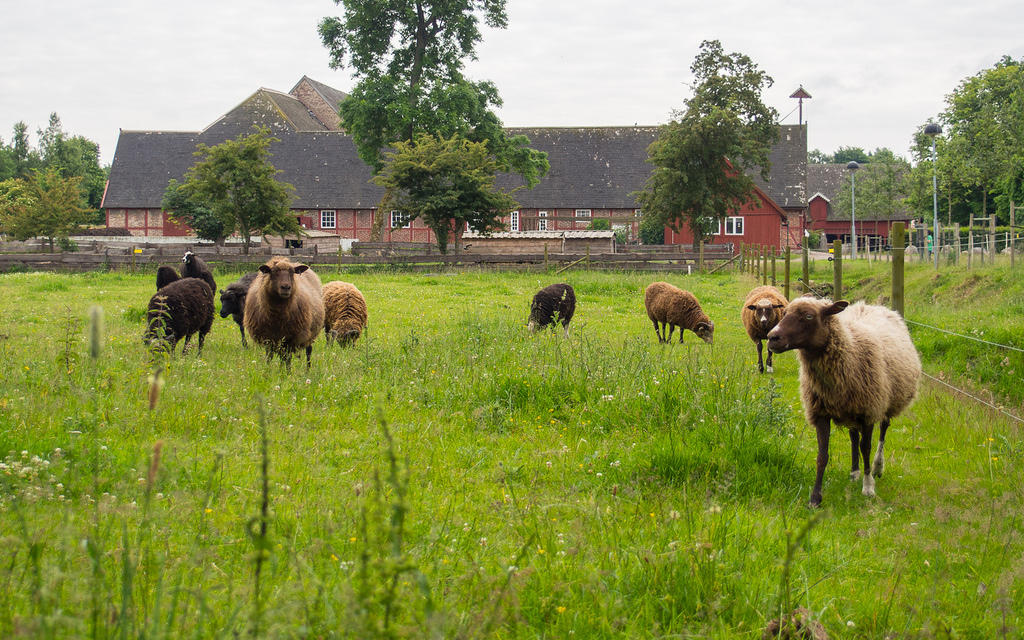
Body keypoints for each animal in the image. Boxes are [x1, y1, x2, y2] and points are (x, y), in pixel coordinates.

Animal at [770, 296, 921, 505]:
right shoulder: (821, 413)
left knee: (883, 431)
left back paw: (877, 467)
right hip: (851, 409)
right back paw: (854, 471)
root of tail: (870, 305)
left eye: (809, 316)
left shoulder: (868, 411)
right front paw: (815, 497)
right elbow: (822, 455)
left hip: (887, 401)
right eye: (784, 313)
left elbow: (866, 448)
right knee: (853, 436)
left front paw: (868, 487)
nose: (772, 337)